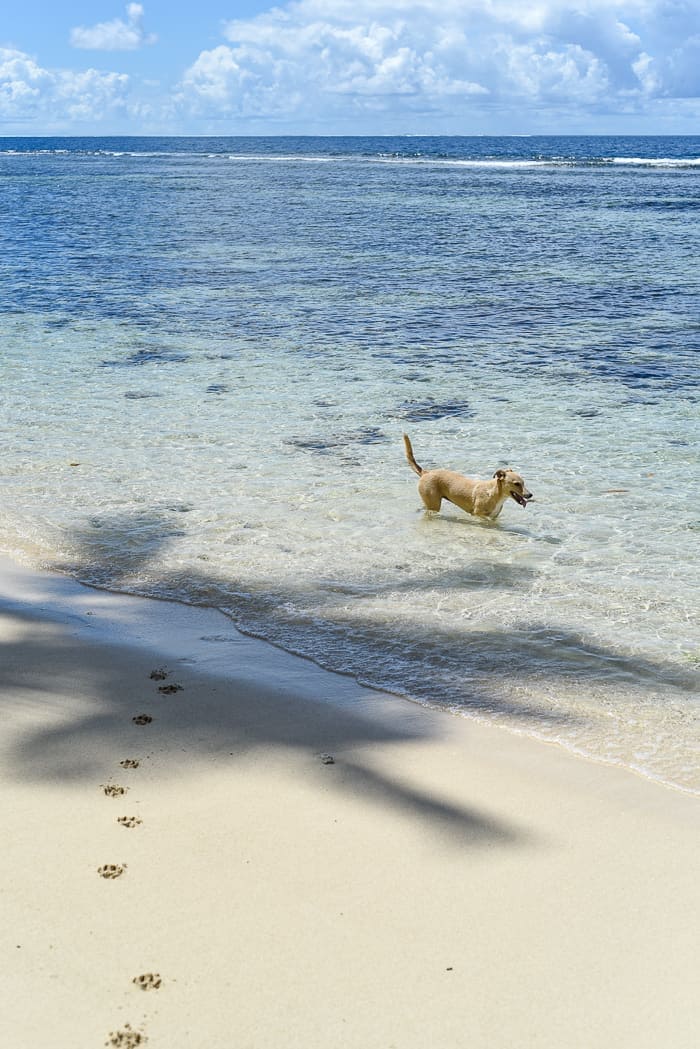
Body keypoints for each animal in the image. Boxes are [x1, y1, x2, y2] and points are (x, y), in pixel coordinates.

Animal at [402, 430, 533, 520]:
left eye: (524, 483)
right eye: (516, 484)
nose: (530, 495)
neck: (494, 493)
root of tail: (426, 472)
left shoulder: (493, 517)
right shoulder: (478, 515)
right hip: (434, 503)